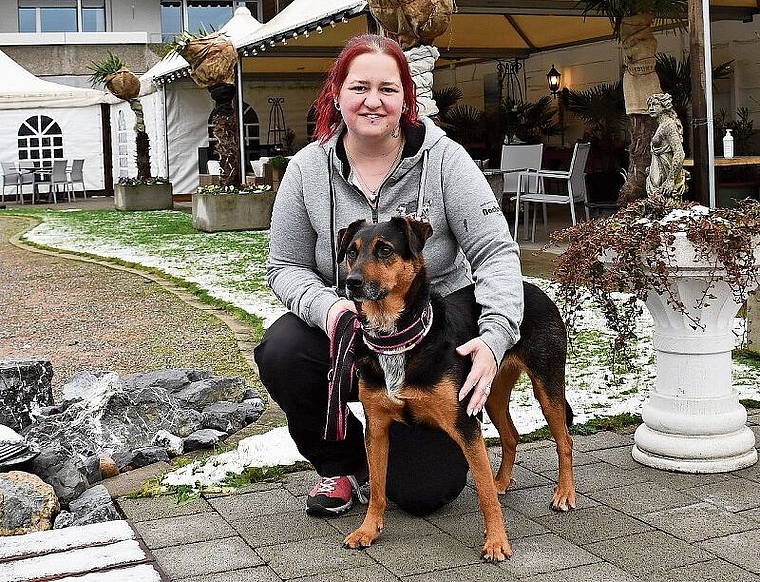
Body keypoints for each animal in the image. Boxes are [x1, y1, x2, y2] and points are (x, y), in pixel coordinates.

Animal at [336, 217, 572, 564]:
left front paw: (497, 542)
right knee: (511, 435)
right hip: (491, 392)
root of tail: (530, 287)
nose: (351, 283)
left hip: (546, 385)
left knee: (564, 440)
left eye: (385, 250)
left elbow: (484, 494)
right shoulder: (376, 428)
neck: (397, 340)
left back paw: (564, 494)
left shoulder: (465, 424)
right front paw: (368, 530)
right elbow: (378, 487)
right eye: (352, 252)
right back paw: (502, 480)